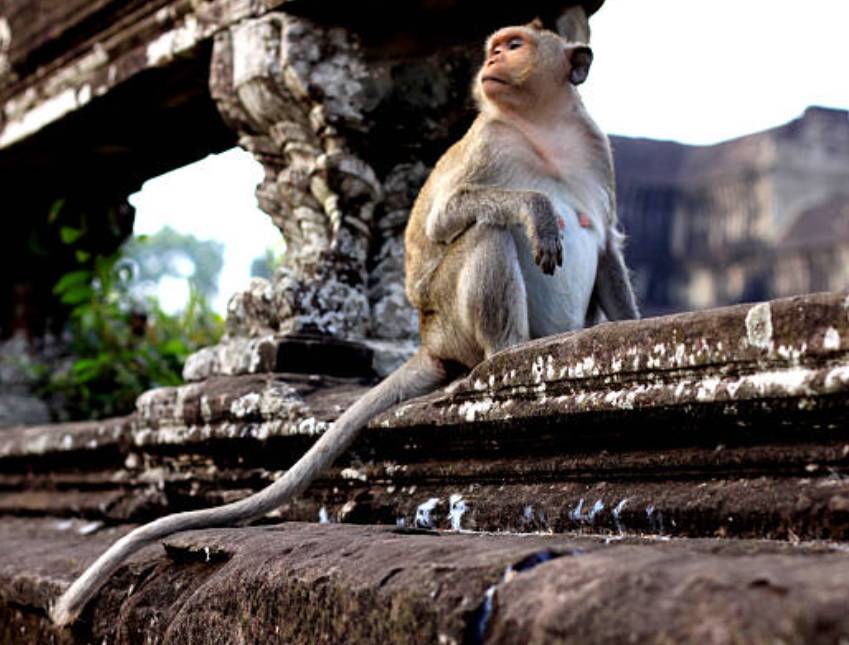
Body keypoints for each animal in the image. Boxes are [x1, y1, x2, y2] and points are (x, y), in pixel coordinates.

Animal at [50, 21, 638, 626]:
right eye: (496, 46)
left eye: (514, 45)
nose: (492, 61)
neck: (541, 126)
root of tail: (428, 337)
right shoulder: (488, 143)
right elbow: (448, 215)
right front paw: (538, 211)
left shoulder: (596, 151)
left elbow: (607, 245)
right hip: (450, 320)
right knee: (484, 233)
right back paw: (508, 353)